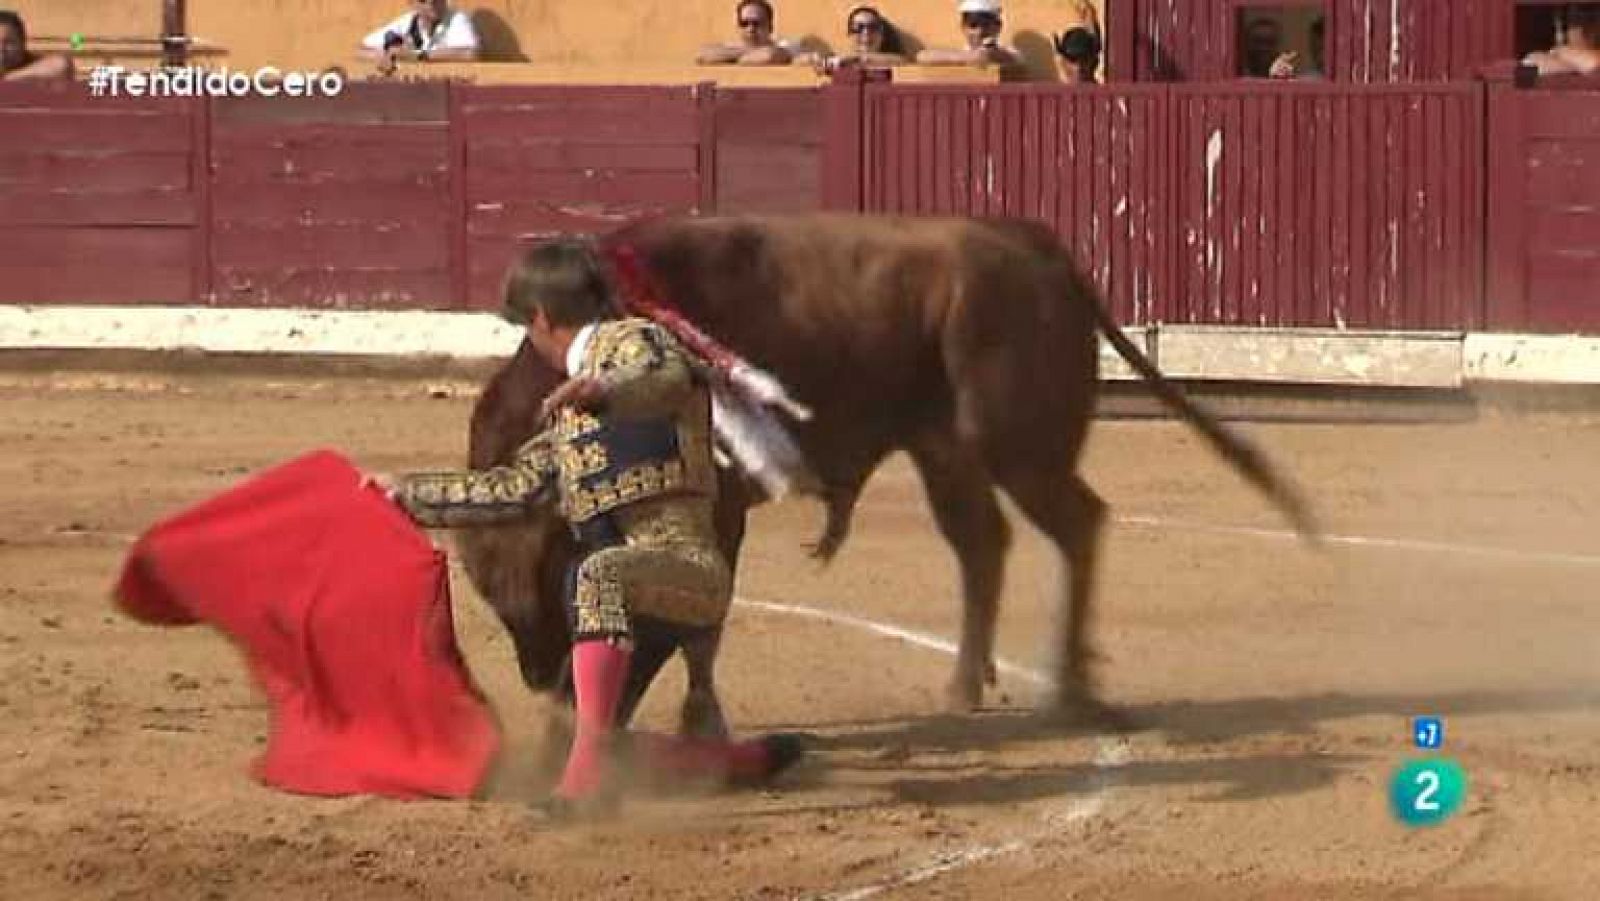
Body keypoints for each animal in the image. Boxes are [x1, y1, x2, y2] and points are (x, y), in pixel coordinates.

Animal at [448, 214, 1312, 736]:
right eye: (485, 588)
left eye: (538, 566)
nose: (539, 679)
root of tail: (1036, 244)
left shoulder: (715, 506)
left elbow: (702, 617)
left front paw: (698, 720)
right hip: (945, 450)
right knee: (983, 544)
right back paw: (966, 688)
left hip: (1017, 443)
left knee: (1075, 524)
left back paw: (1068, 689)